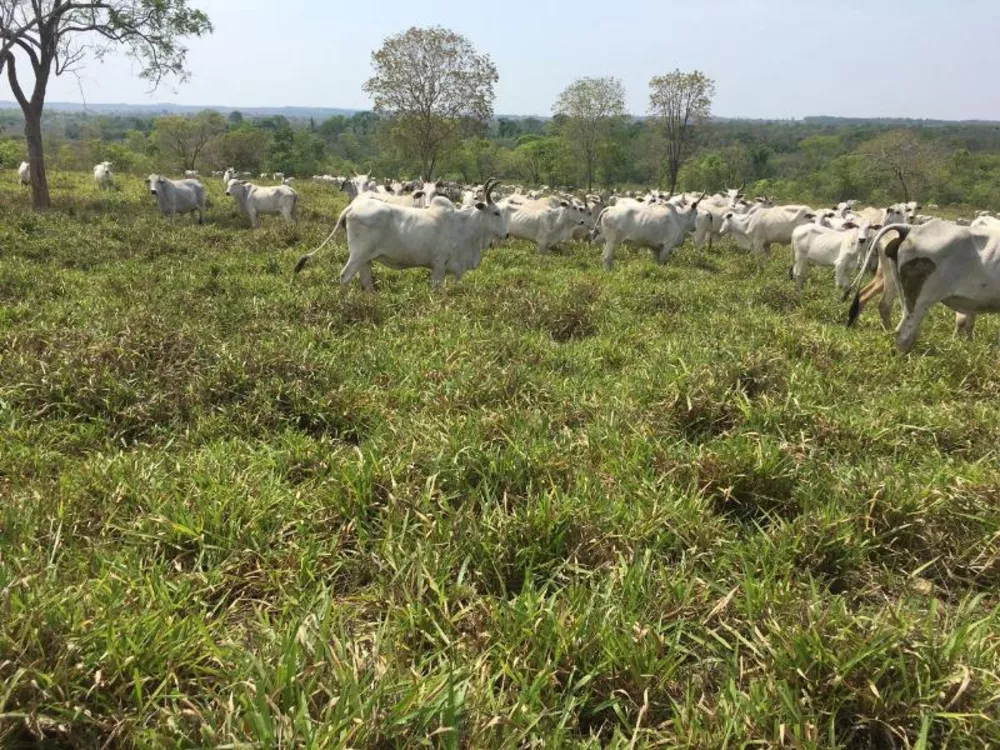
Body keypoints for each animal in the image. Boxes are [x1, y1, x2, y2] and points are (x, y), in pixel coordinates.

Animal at [292, 179, 508, 290]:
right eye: (496, 212)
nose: (505, 234)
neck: (464, 226)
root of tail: (352, 207)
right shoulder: (438, 265)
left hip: (365, 259)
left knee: (365, 281)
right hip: (358, 255)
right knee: (345, 277)